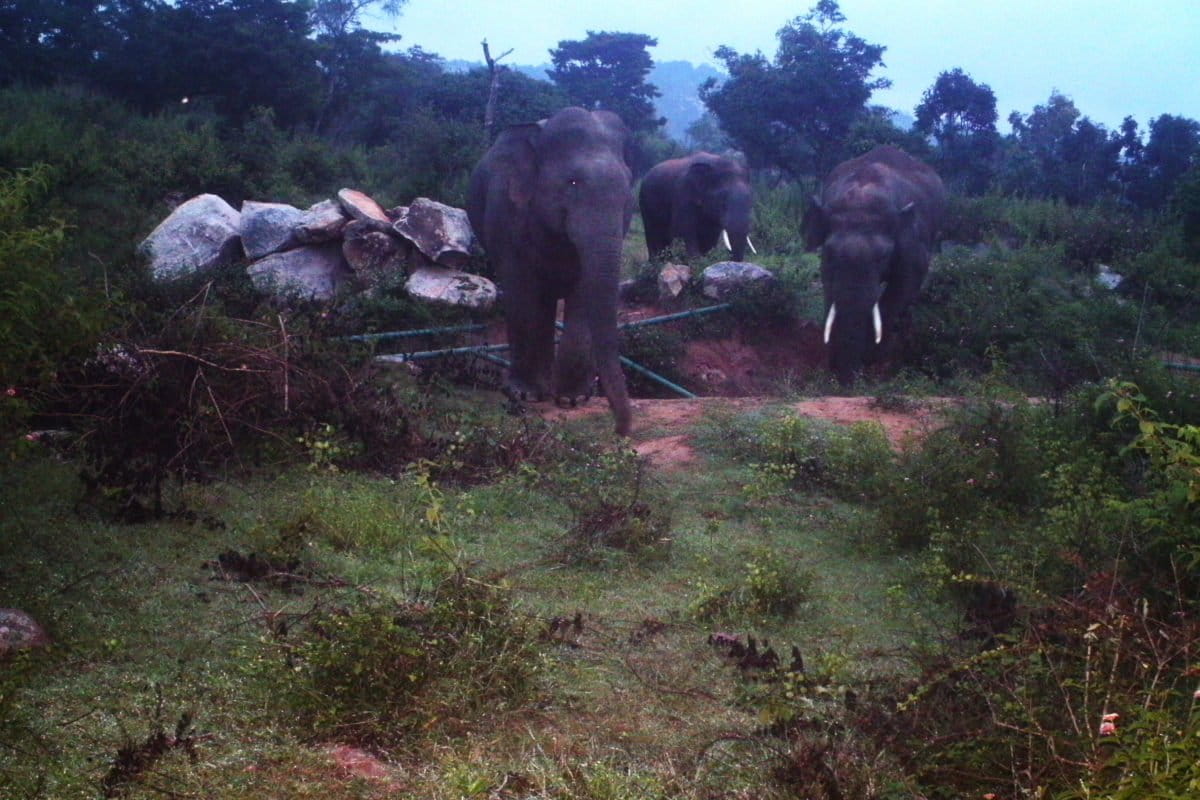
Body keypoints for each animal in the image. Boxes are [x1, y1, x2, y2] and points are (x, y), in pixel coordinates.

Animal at [467, 106, 635, 435]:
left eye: (628, 190)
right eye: (572, 183)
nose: (621, 430)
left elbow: (582, 294)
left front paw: (573, 399)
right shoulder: (506, 216)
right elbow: (520, 291)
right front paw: (524, 395)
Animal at [802, 145, 946, 386]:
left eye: (883, 256)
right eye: (829, 254)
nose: (847, 384)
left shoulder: (913, 242)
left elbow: (905, 283)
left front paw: (872, 357)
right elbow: (831, 290)